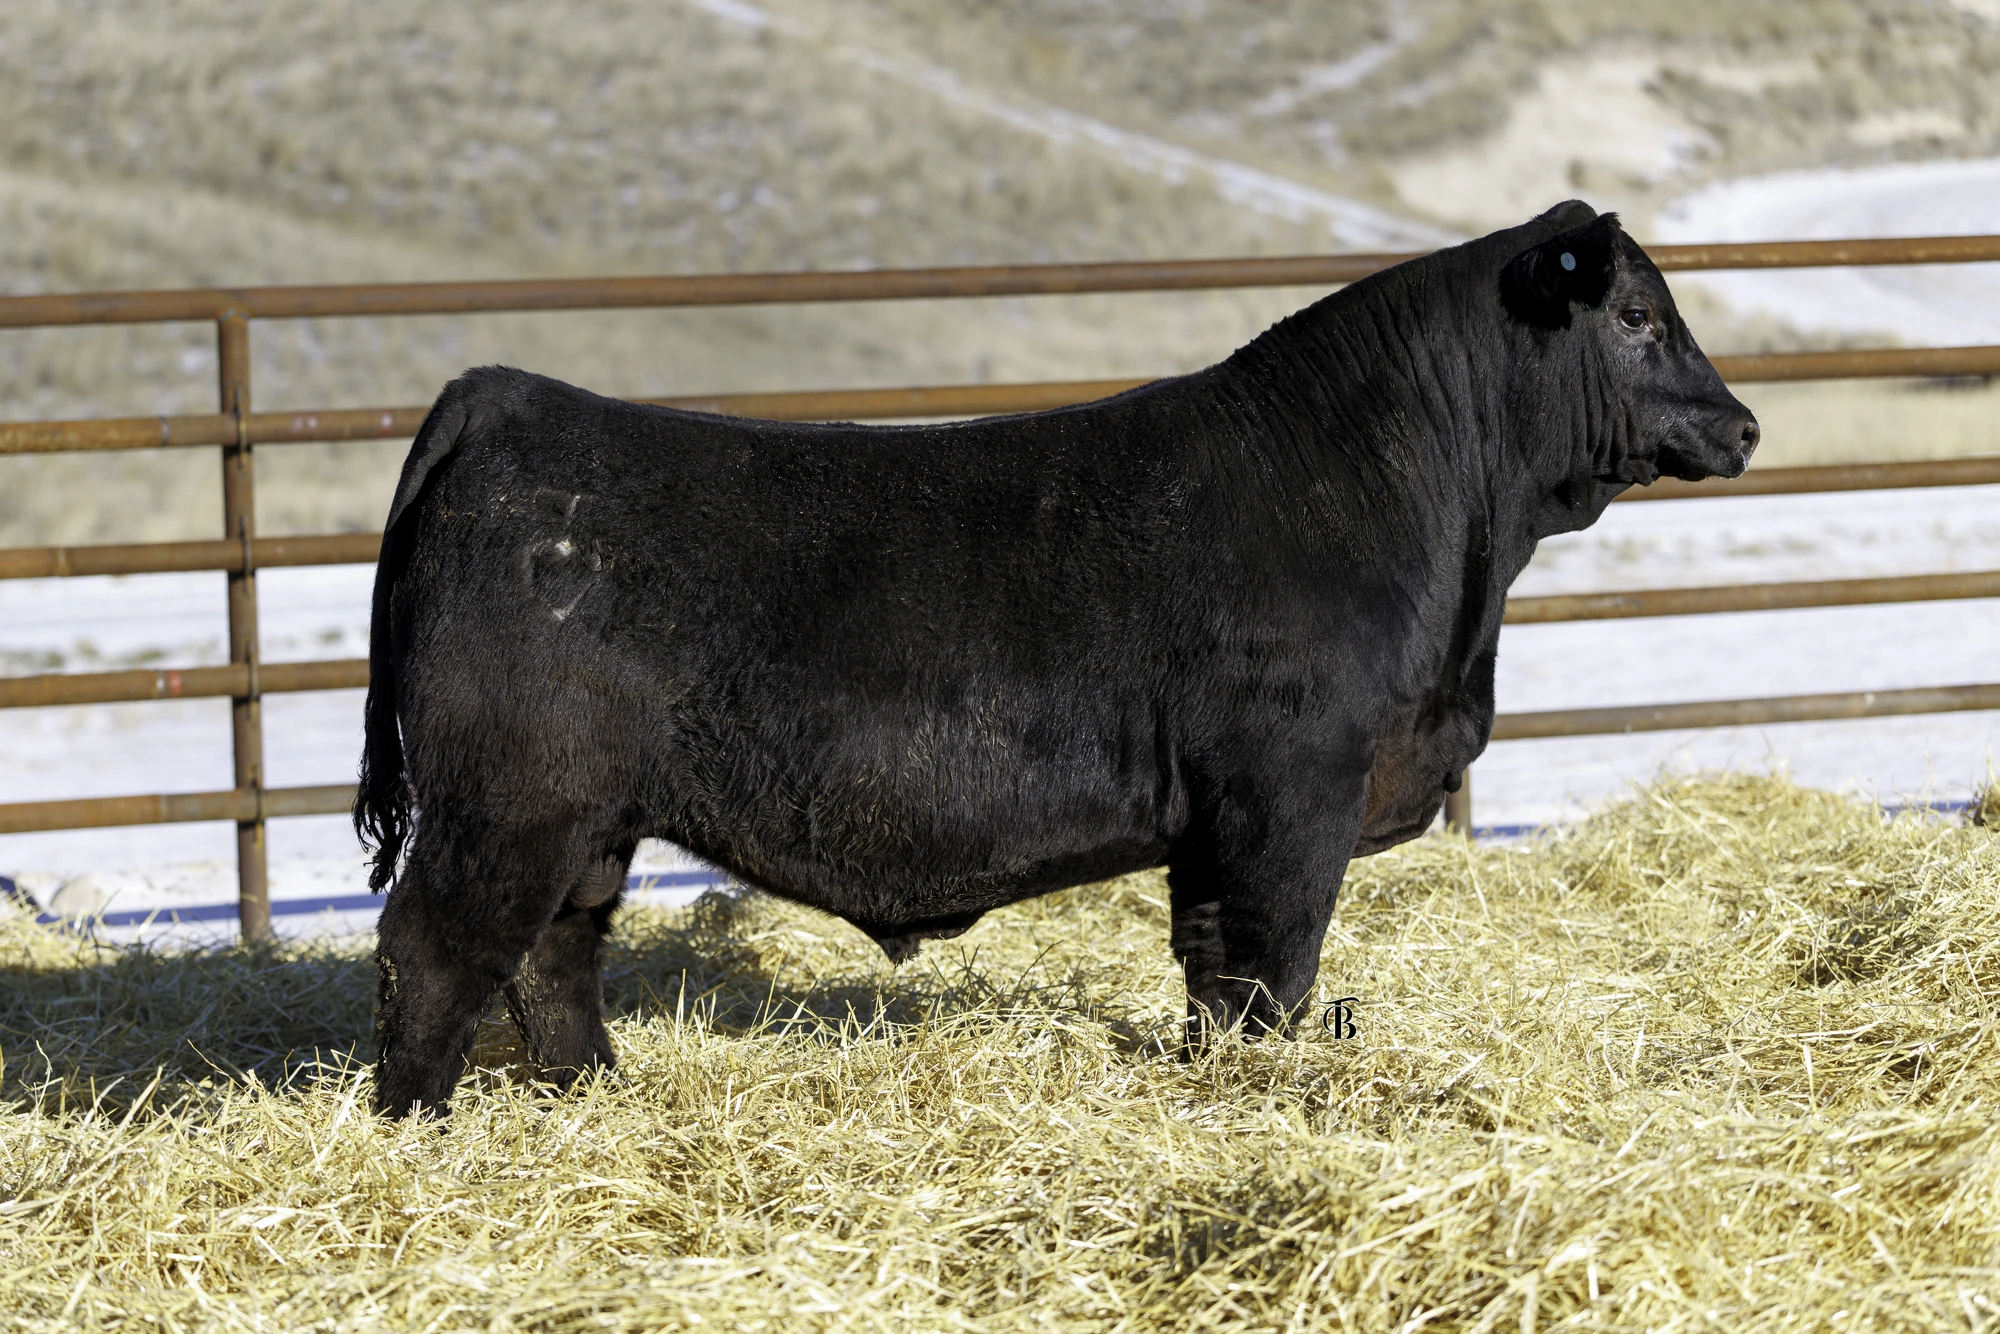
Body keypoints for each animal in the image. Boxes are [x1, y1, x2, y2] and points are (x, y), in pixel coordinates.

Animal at [355, 201, 1758, 1117]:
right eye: (1636, 313)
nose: (1740, 424)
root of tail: (508, 394)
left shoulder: (1217, 825)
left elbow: (1214, 975)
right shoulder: (1289, 794)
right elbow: (1275, 966)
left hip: (584, 819)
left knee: (555, 953)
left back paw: (595, 1095)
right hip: (507, 800)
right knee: (438, 945)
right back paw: (417, 1127)